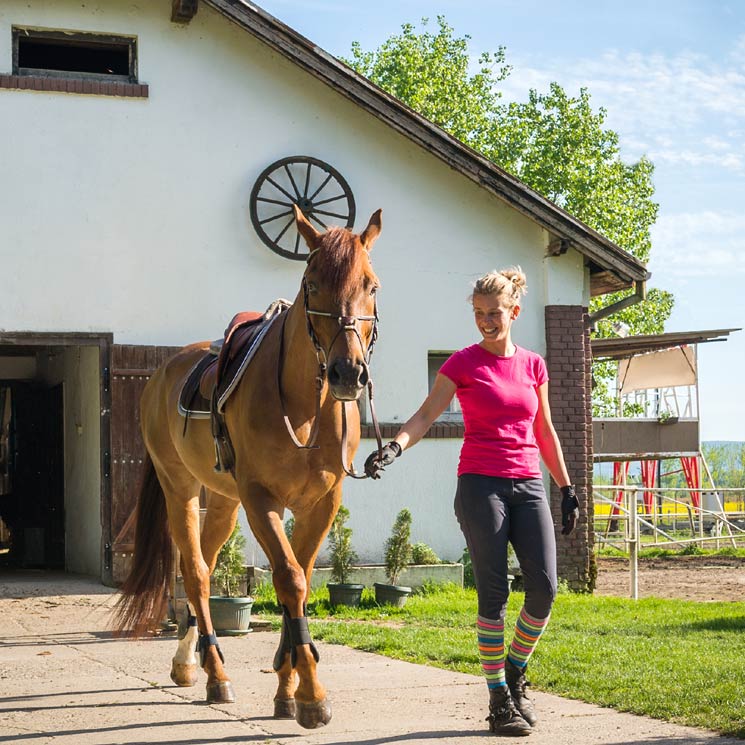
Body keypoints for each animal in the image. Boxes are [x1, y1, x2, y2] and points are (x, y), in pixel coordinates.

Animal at [116, 206, 384, 728]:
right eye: (312, 284)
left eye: (372, 285)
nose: (348, 373)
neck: (305, 407)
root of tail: (161, 375)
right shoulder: (263, 500)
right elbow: (290, 580)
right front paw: (311, 696)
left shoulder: (321, 503)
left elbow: (298, 579)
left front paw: (286, 685)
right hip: (181, 489)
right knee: (196, 572)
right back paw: (215, 674)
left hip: (223, 501)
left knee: (205, 562)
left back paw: (188, 663)